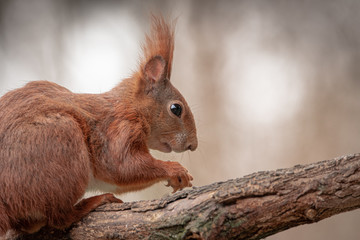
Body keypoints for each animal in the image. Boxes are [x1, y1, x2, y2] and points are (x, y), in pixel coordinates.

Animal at [0, 15, 197, 236]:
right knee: (60, 217)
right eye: (176, 108)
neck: (130, 107)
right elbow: (122, 166)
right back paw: (92, 202)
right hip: (62, 144)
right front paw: (175, 170)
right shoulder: (120, 128)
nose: (193, 144)